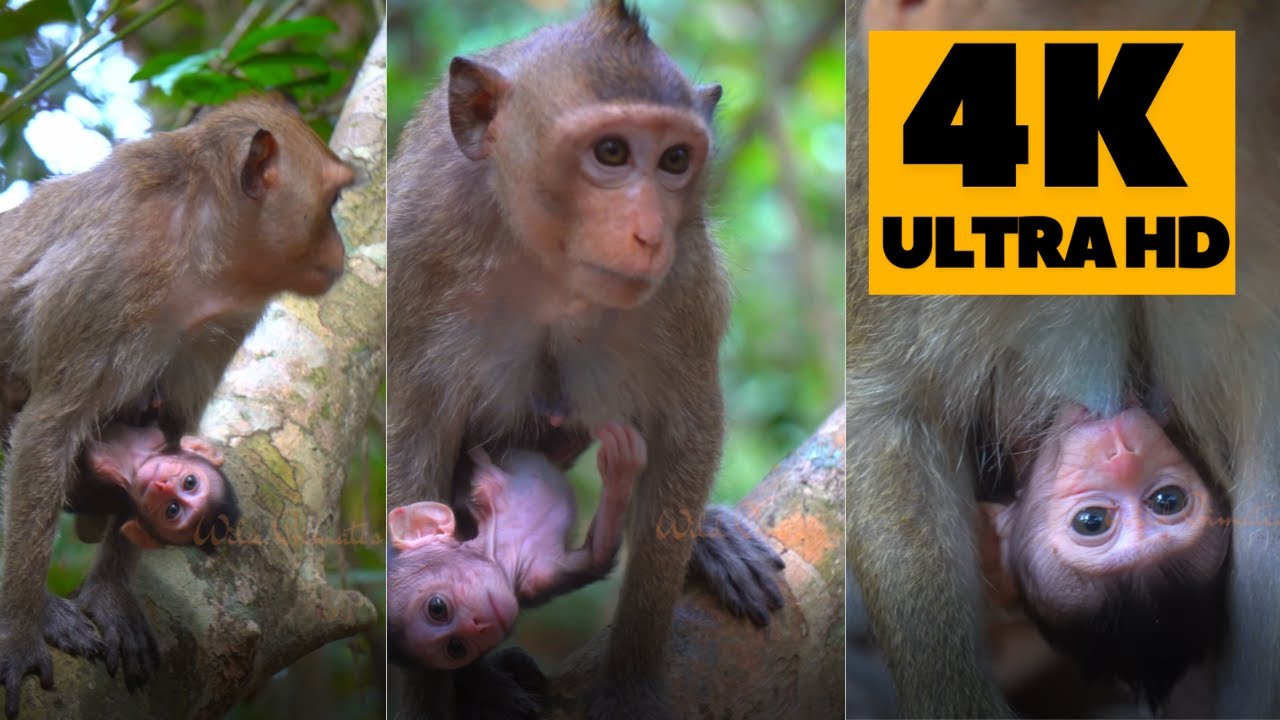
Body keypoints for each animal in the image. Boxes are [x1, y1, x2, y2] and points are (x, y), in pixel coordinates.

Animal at [0, 93, 353, 717]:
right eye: (331, 202)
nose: (340, 249)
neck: (196, 248)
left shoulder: (230, 315)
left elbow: (168, 429)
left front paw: (112, 594)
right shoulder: (110, 279)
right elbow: (48, 427)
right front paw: (22, 627)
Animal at [388, 423, 643, 671]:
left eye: (437, 608)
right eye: (457, 647)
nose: (477, 626)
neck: (502, 554)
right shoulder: (537, 576)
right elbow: (596, 556)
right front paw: (620, 471)